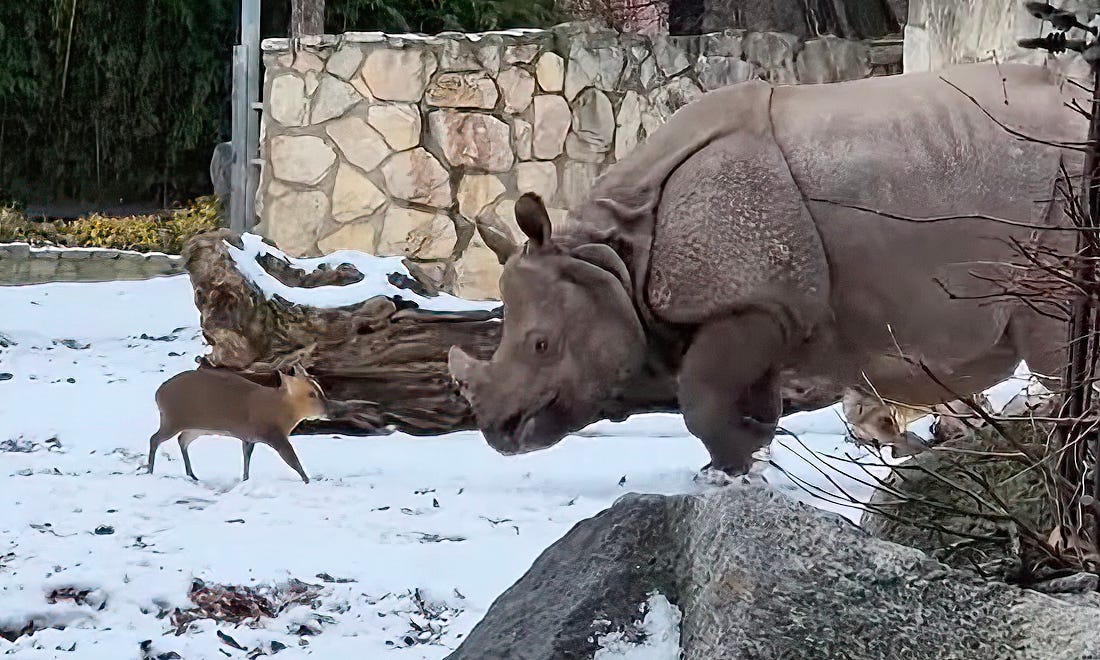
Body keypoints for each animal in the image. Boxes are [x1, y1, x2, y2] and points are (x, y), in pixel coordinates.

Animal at [146, 364, 327, 483]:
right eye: (311, 394)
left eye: (320, 389)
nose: (329, 408)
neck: (281, 412)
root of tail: (158, 394)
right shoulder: (273, 434)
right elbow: (292, 459)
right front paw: (307, 480)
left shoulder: (249, 437)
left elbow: (246, 458)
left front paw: (245, 479)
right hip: (172, 419)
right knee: (154, 438)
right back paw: (150, 470)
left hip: (195, 427)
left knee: (182, 440)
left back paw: (192, 474)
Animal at [448, 62, 1085, 476]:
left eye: (540, 345)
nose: (500, 434)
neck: (613, 254)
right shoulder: (768, 307)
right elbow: (746, 397)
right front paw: (749, 453)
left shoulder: (754, 302)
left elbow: (699, 397)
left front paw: (736, 465)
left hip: (1067, 197)